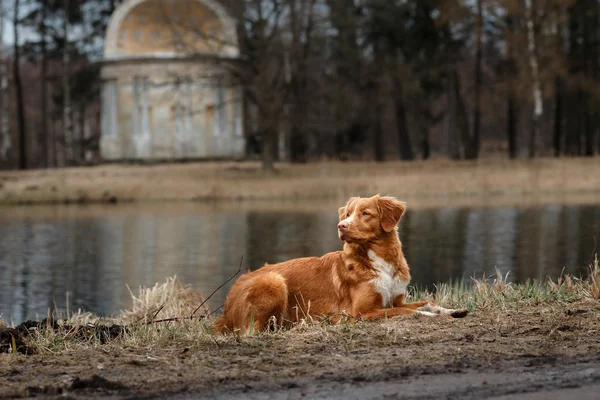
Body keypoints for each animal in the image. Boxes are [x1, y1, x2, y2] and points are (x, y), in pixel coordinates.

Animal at [213, 195, 466, 332]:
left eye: (365, 213)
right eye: (348, 214)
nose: (341, 225)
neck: (379, 260)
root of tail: (226, 306)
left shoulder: (395, 298)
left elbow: (425, 303)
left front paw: (452, 310)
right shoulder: (362, 312)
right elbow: (406, 311)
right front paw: (434, 317)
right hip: (273, 281)